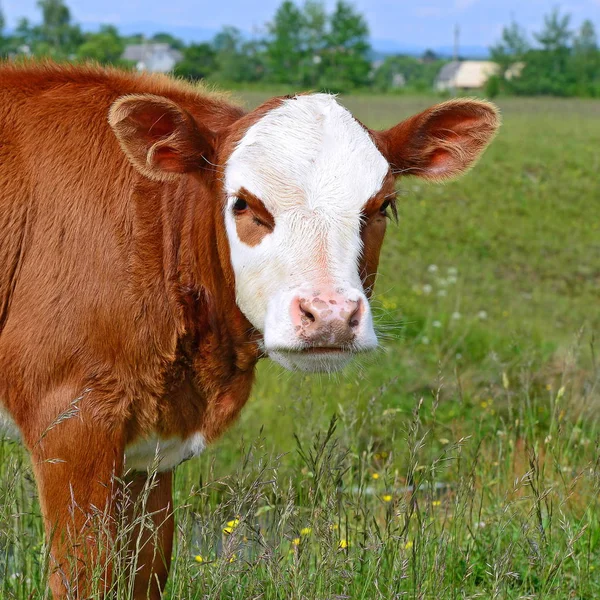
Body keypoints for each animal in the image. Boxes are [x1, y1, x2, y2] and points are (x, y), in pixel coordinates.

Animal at [0, 63, 500, 596]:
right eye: (241, 204)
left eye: (383, 205)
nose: (329, 315)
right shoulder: (71, 420)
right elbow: (84, 576)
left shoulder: (147, 454)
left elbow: (142, 571)